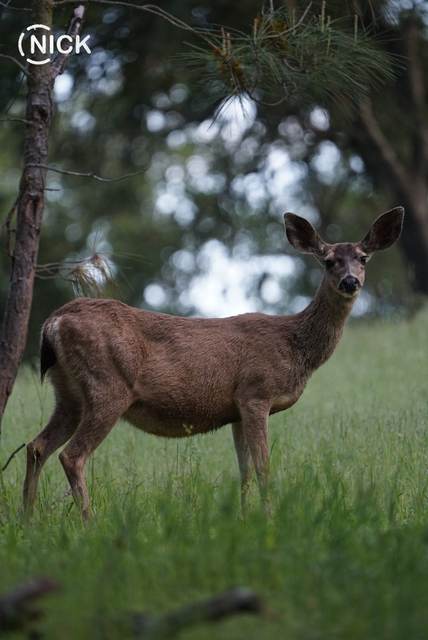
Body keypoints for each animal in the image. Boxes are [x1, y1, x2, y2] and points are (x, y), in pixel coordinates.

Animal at [23, 207, 404, 520]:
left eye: (363, 258)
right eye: (328, 261)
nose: (350, 281)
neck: (294, 346)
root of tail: (53, 322)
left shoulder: (235, 409)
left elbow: (244, 470)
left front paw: (245, 517)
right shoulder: (255, 392)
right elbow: (263, 466)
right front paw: (269, 519)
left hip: (69, 394)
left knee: (37, 446)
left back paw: (28, 520)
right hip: (108, 386)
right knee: (72, 455)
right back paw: (89, 522)